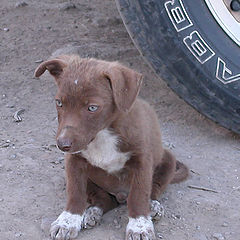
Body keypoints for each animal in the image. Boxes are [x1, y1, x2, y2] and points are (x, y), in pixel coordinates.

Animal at [34, 55, 188, 239]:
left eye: (92, 107)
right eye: (59, 103)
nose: (62, 145)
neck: (103, 133)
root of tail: (120, 196)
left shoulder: (142, 161)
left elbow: (139, 195)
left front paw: (139, 226)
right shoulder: (74, 161)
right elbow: (75, 192)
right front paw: (68, 221)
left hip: (168, 161)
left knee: (153, 190)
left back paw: (153, 206)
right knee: (103, 199)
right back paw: (92, 212)